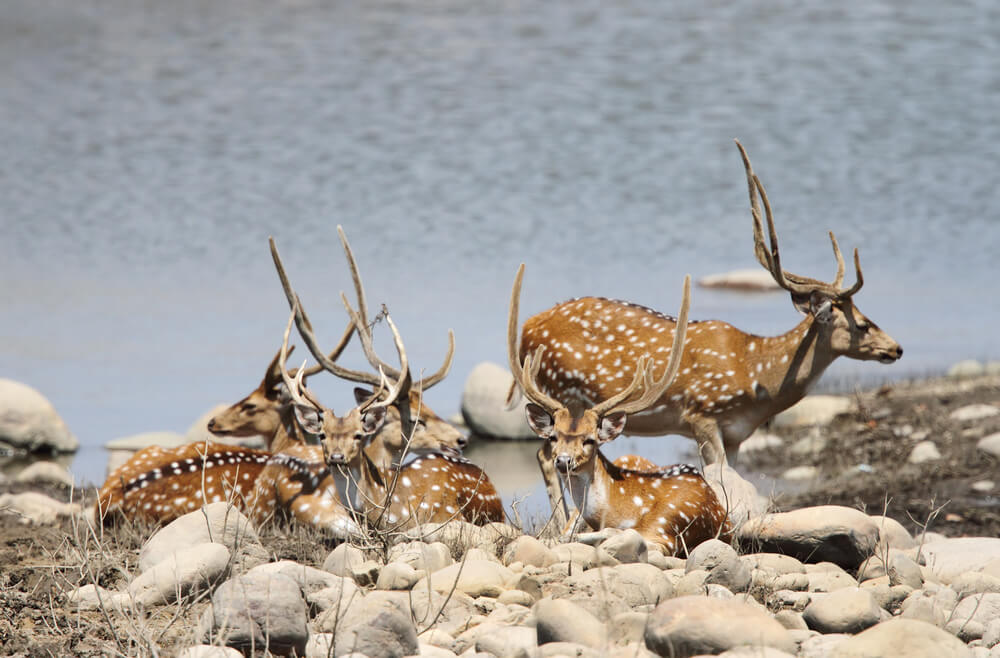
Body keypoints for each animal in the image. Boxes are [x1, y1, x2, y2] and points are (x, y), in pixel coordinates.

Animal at [508, 140, 902, 476]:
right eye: (863, 323)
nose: (896, 349)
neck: (758, 373)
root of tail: (527, 328)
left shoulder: (738, 433)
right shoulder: (702, 416)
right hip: (561, 394)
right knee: (546, 455)